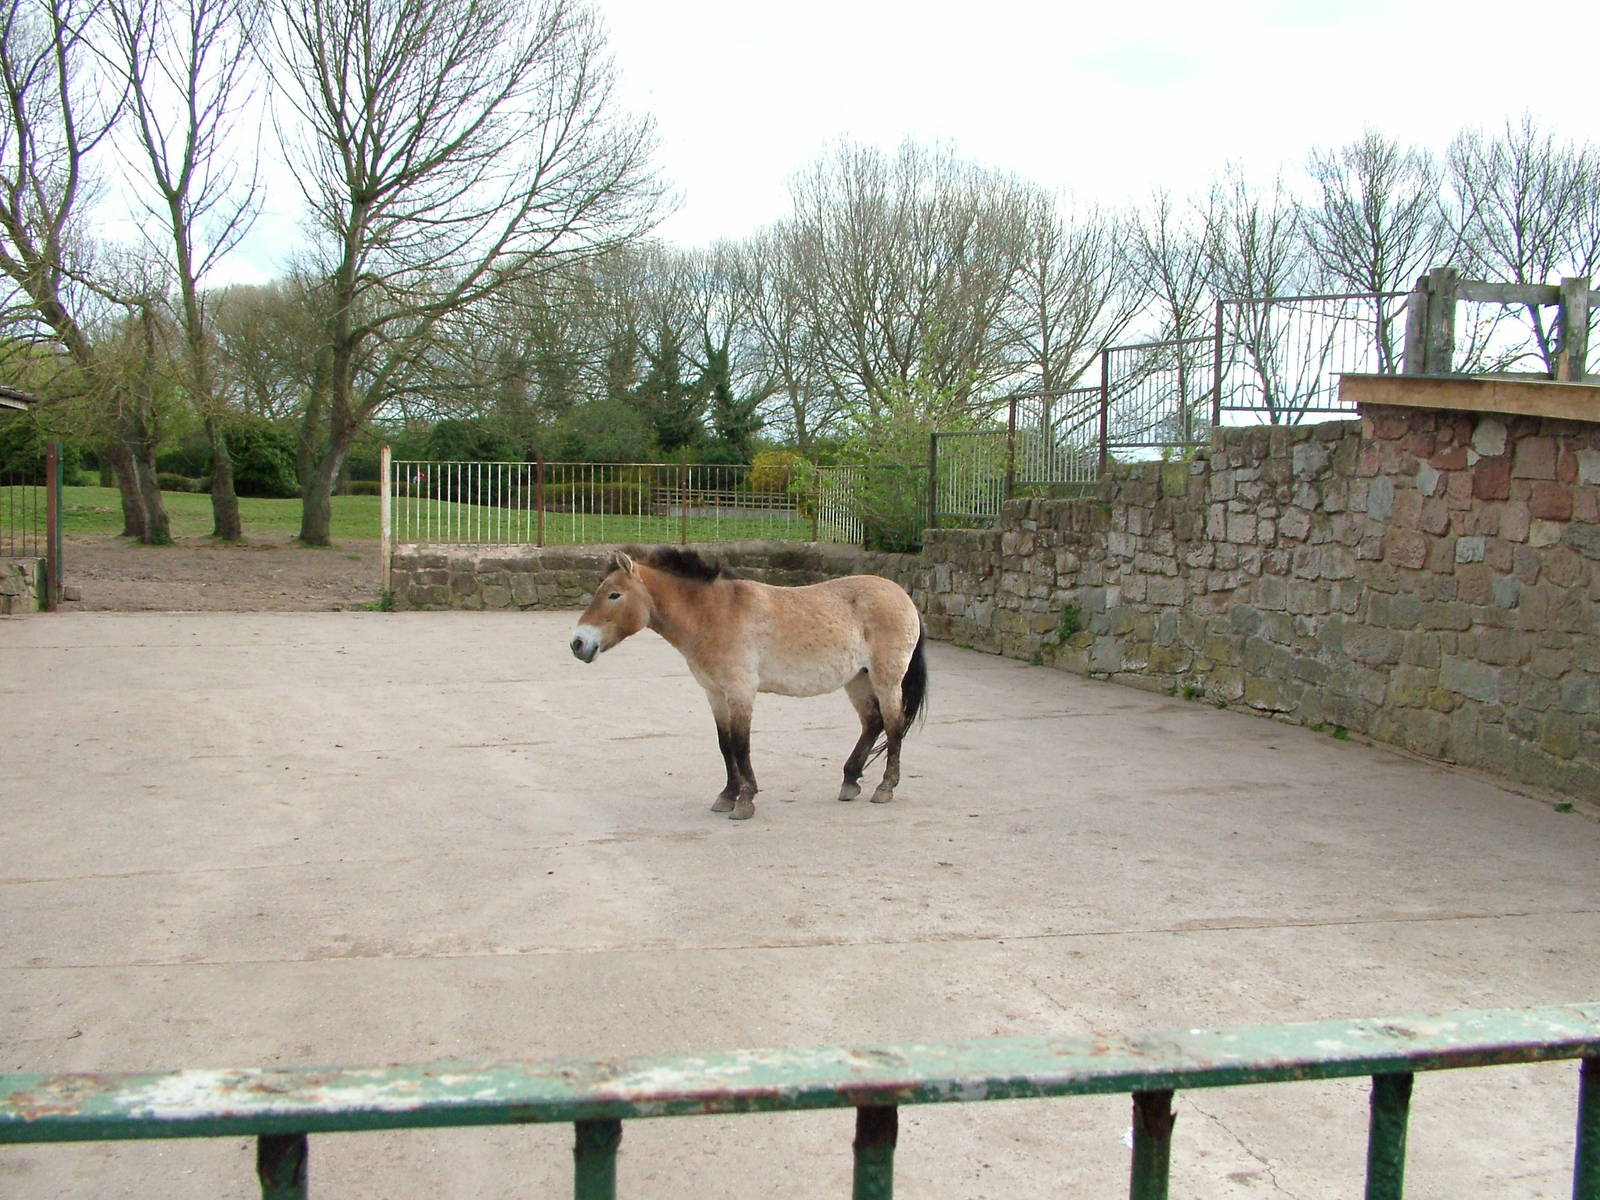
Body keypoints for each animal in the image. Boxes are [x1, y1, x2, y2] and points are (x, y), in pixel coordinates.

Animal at [569, 546, 927, 821]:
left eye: (614, 594)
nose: (577, 643)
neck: (713, 615)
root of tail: (902, 595)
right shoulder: (715, 693)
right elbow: (725, 744)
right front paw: (727, 795)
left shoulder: (740, 691)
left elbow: (741, 745)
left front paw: (745, 801)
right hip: (857, 679)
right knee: (873, 723)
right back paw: (850, 781)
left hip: (885, 678)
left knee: (893, 725)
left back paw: (885, 788)